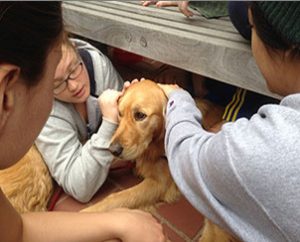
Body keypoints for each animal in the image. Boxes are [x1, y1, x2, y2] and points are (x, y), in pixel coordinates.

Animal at [81, 80, 239, 242]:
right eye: (120, 113)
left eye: (140, 115)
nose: (113, 150)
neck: (155, 146)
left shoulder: (159, 183)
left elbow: (117, 197)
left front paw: (87, 213)